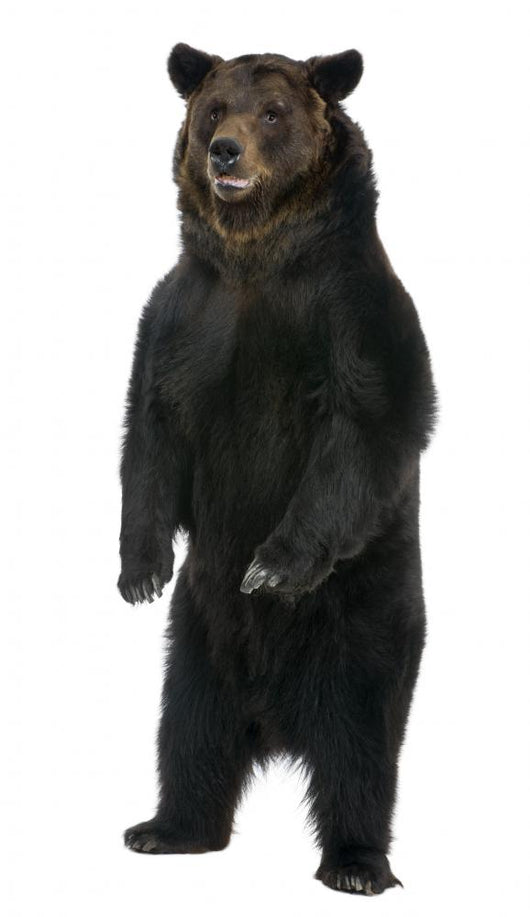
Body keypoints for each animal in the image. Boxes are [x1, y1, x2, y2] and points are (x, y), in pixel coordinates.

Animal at [117, 42, 437, 897]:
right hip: (197, 637)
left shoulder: (352, 314)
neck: (257, 256)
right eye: (213, 109)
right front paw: (139, 568)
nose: (225, 152)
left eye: (273, 112)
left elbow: (363, 428)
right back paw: (167, 827)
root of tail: (276, 720)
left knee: (361, 749)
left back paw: (356, 864)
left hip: (365, 620)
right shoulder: (184, 317)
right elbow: (151, 432)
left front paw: (271, 566)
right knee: (188, 730)